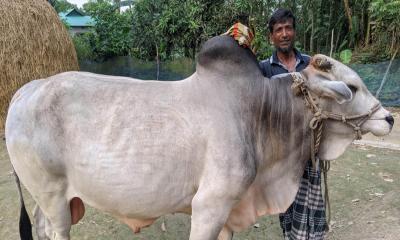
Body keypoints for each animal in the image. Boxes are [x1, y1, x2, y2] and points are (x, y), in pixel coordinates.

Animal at [7, 36, 394, 240]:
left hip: (48, 199)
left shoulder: (228, 210)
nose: (389, 118)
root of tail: (26, 89)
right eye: (352, 87)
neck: (261, 112)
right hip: (52, 195)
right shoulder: (209, 205)